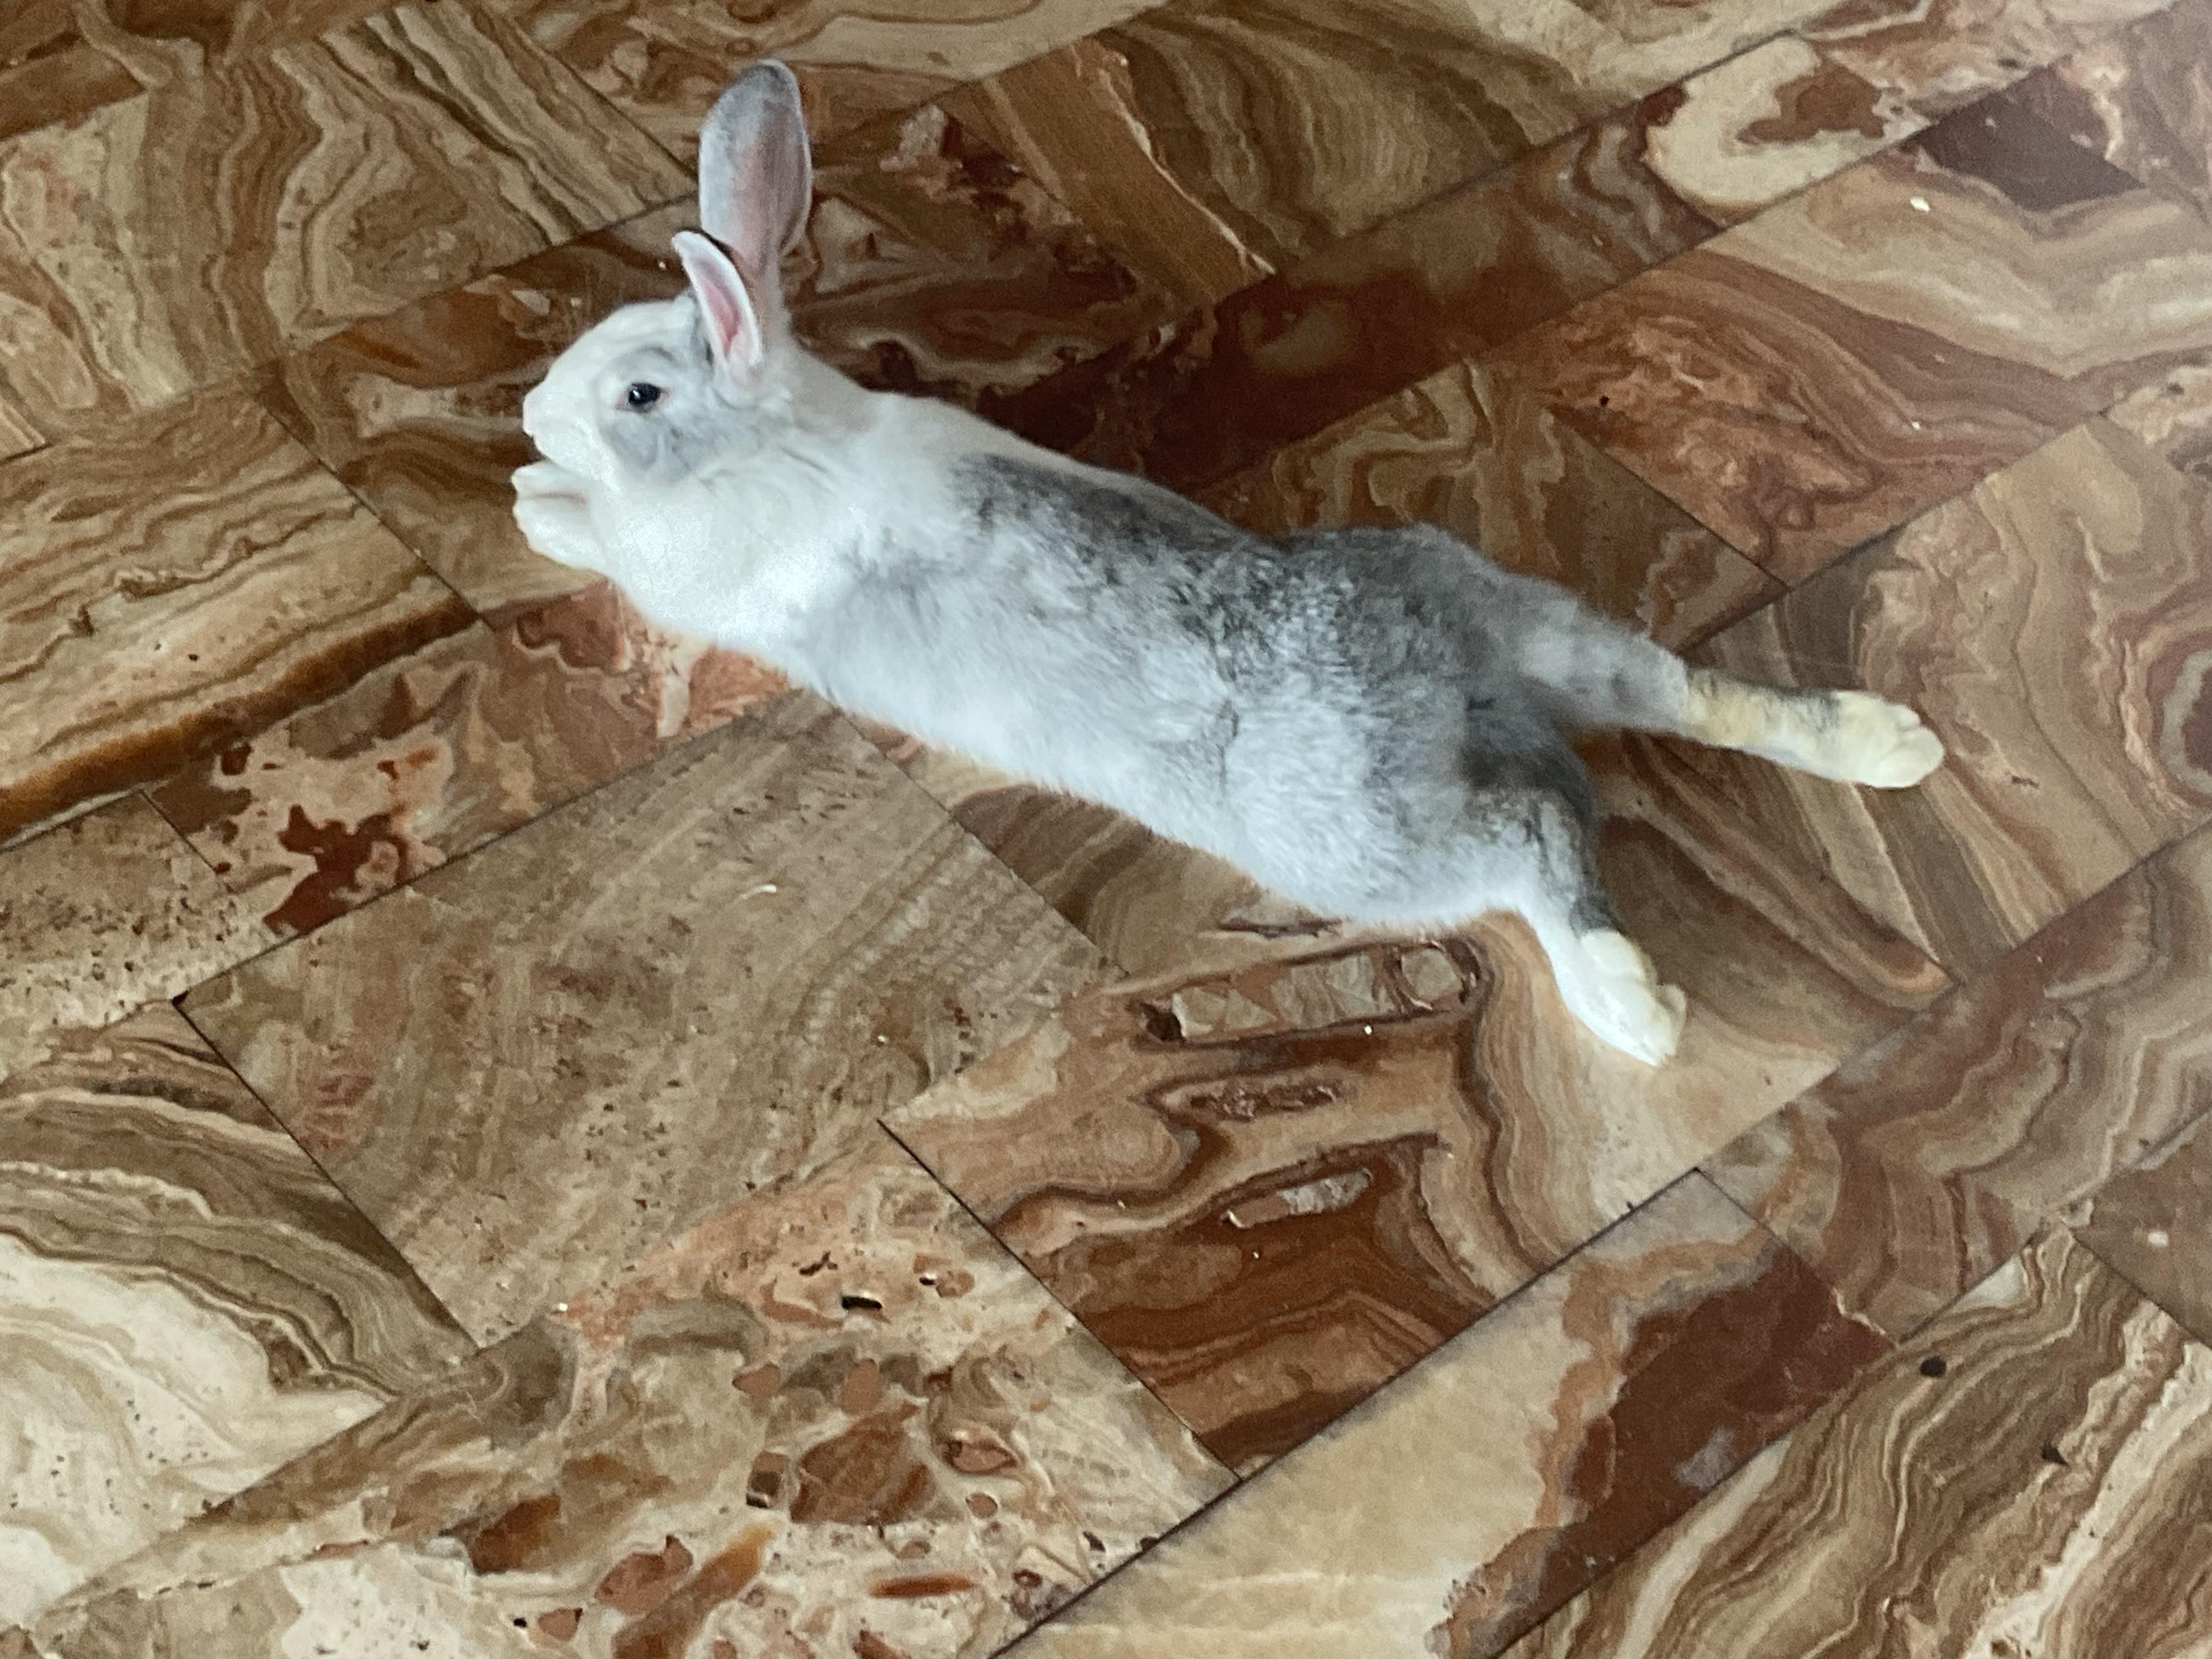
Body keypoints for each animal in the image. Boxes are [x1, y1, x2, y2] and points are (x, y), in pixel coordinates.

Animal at [511, 61, 1944, 1066]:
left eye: (639, 394)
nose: (529, 414)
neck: (777, 431)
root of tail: (1435, 672)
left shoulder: (688, 575)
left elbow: (613, 546)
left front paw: (540, 503)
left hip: (1369, 850)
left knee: (1536, 841)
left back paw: (1633, 1011)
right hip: (1537, 626)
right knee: (1681, 699)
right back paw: (1889, 744)